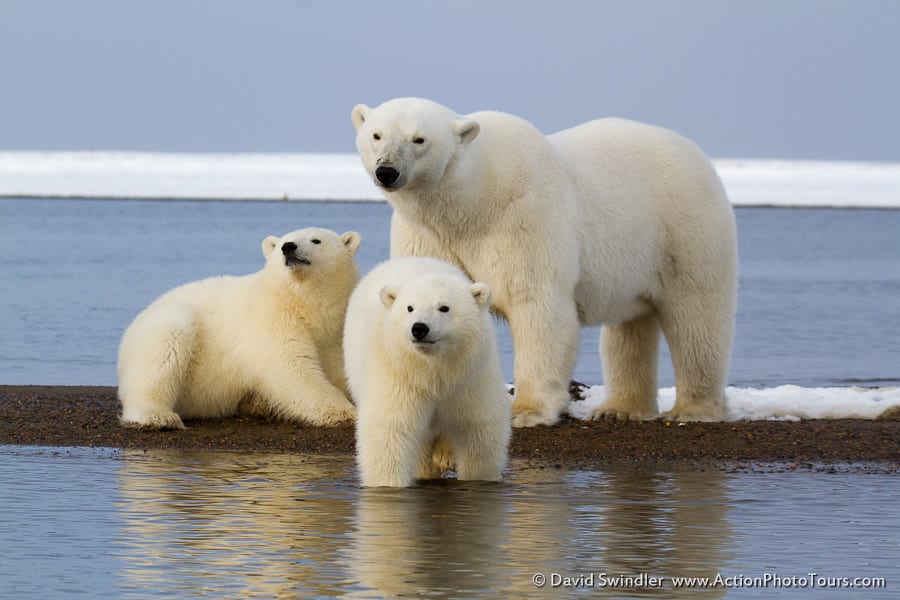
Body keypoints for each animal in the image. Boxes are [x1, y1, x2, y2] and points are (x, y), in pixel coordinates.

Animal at [352, 97, 740, 426]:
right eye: (376, 134)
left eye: (419, 139)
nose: (387, 171)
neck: (472, 201)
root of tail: (697, 154)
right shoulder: (428, 235)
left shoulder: (525, 216)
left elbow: (538, 306)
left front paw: (527, 411)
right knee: (630, 325)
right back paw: (620, 408)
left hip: (684, 228)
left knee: (696, 316)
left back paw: (695, 409)